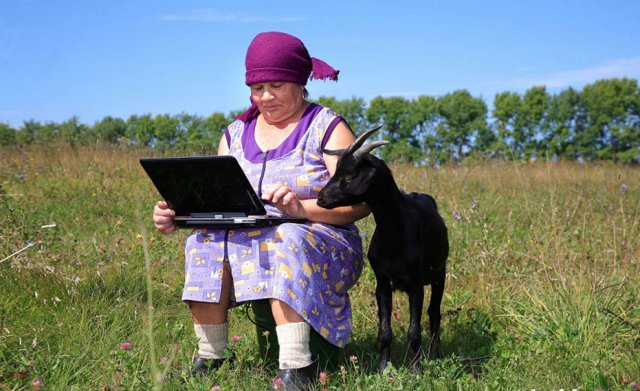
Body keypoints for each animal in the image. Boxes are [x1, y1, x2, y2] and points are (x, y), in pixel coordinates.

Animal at [316, 128, 448, 374]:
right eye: (336, 170)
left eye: (350, 176)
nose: (321, 198)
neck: (395, 234)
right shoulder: (383, 283)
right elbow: (385, 332)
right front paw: (382, 368)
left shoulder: (416, 285)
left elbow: (414, 331)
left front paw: (416, 369)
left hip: (439, 275)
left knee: (434, 313)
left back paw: (436, 352)